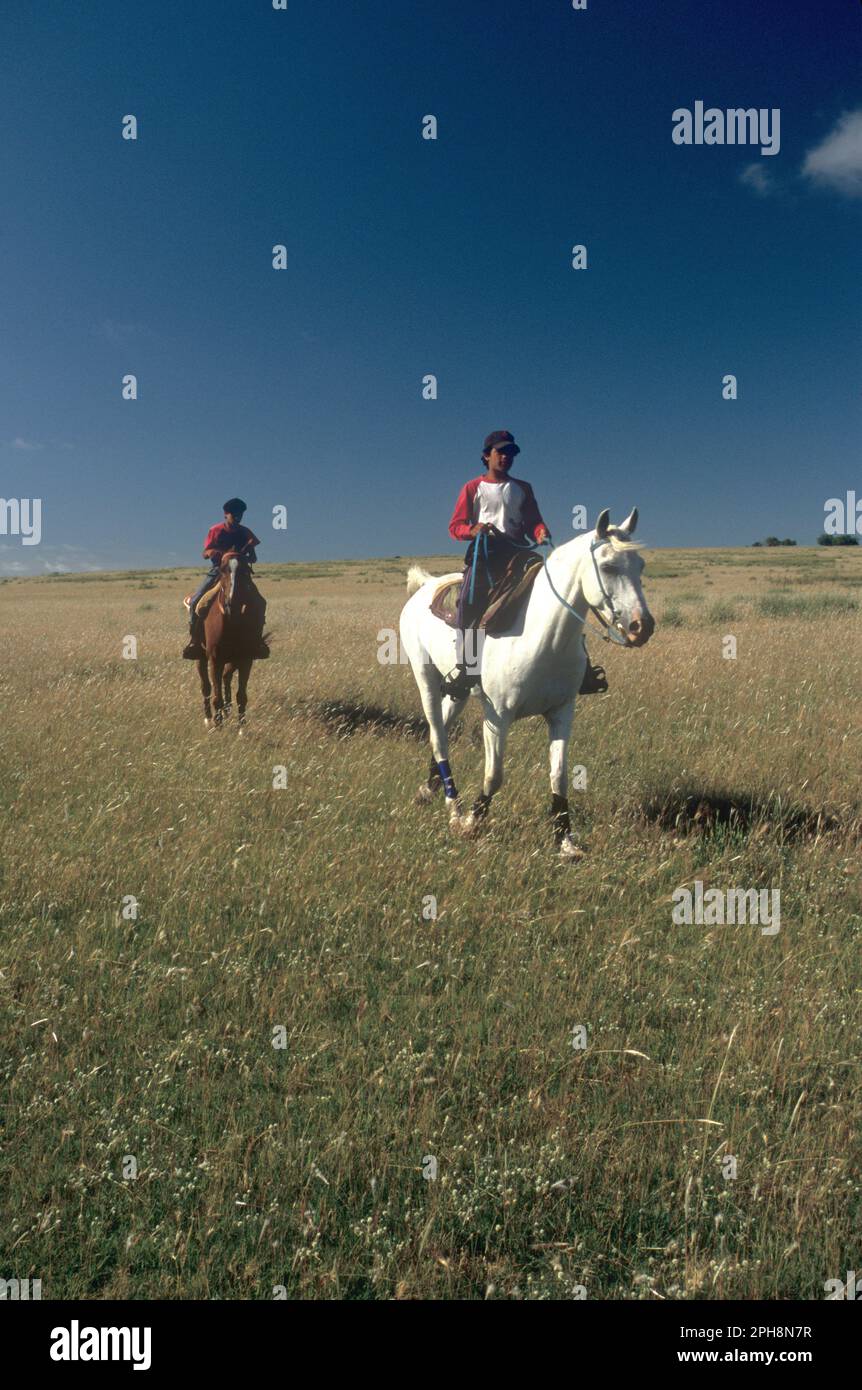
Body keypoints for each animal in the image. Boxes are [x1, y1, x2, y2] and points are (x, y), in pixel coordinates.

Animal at [197, 550, 268, 733]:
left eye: (245, 570)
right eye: (222, 569)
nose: (232, 603)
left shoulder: (246, 659)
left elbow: (241, 695)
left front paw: (242, 728)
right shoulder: (215, 659)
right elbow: (216, 696)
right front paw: (218, 726)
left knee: (226, 677)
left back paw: (227, 710)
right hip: (201, 657)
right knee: (206, 686)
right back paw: (208, 718)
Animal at [400, 511, 656, 850]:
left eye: (640, 565)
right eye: (608, 566)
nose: (643, 626)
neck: (546, 637)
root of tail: (427, 585)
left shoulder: (562, 711)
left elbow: (559, 776)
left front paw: (565, 841)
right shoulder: (498, 717)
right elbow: (494, 775)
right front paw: (472, 823)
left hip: (459, 692)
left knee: (439, 728)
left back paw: (428, 791)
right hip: (425, 677)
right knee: (438, 736)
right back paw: (454, 810)